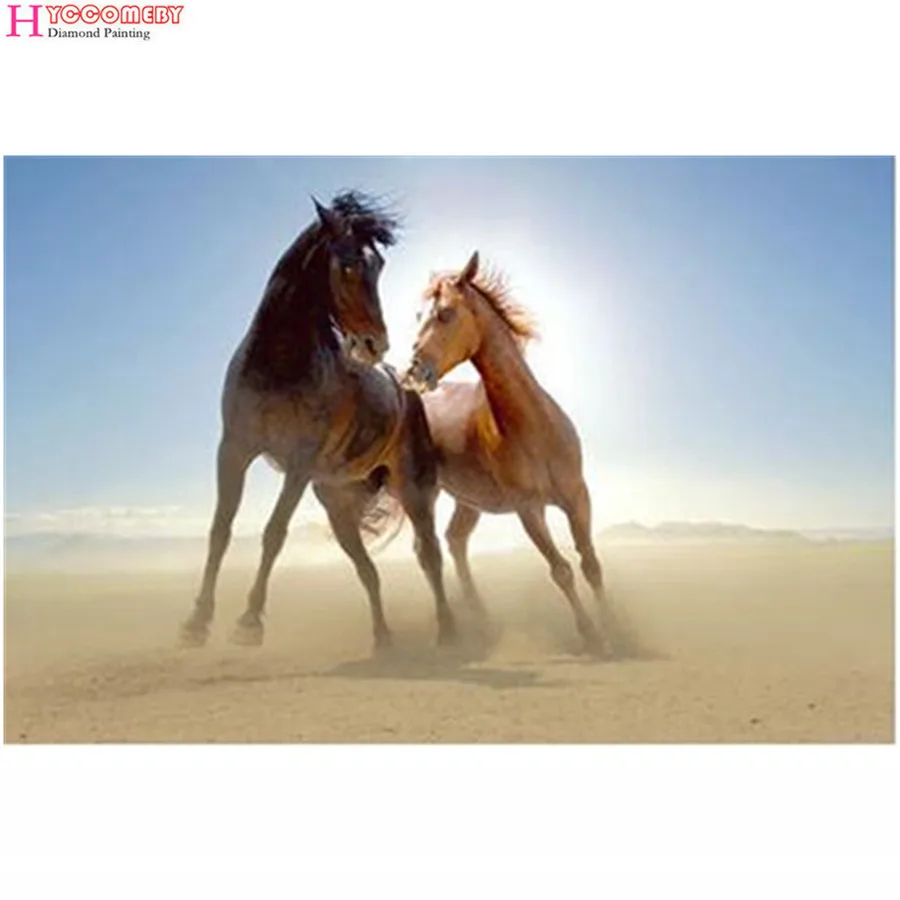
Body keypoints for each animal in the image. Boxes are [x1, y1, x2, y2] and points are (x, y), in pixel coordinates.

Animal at [180, 191, 457, 651]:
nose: (375, 344)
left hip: (413, 490)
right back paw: (383, 639)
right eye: (347, 264)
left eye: (379, 265)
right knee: (367, 569)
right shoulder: (234, 450)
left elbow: (274, 532)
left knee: (430, 555)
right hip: (336, 502)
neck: (276, 362)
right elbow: (220, 529)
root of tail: (407, 393)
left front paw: (249, 622)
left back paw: (449, 632)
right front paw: (197, 621)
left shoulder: (299, 462)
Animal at [402, 251, 614, 655]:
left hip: (467, 501)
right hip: (420, 496)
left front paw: (618, 627)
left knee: (455, 541)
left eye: (445, 313)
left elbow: (591, 563)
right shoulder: (528, 509)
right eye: (419, 315)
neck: (534, 427)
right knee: (427, 552)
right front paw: (591, 634)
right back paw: (449, 632)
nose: (415, 371)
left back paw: (481, 618)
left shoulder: (577, 497)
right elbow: (561, 570)